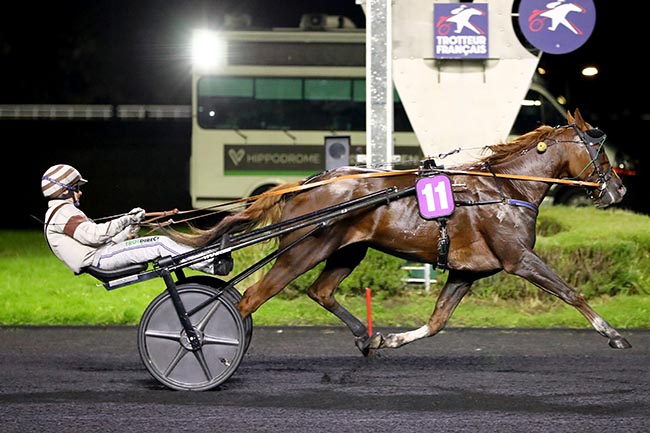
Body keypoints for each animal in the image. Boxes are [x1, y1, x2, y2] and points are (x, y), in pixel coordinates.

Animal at [166, 107, 628, 352]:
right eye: (600, 151)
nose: (618, 190)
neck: (506, 189)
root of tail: (310, 181)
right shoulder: (518, 258)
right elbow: (571, 292)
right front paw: (613, 334)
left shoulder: (467, 271)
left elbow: (438, 320)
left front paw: (391, 340)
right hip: (301, 251)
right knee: (248, 301)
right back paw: (204, 345)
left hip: (347, 249)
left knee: (320, 291)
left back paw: (363, 337)